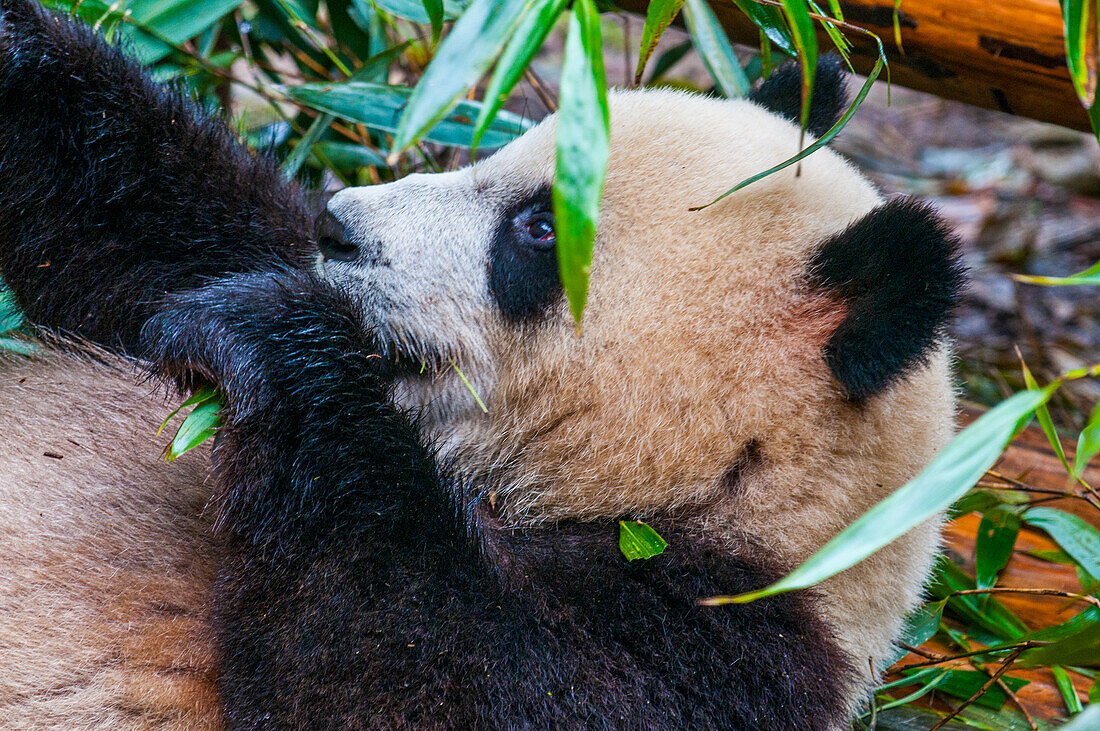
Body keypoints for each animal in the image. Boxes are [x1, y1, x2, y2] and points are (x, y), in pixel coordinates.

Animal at [0, 0, 963, 725]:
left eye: (537, 228)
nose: (338, 227)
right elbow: (144, 233)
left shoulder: (725, 648)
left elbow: (407, 676)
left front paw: (271, 336)